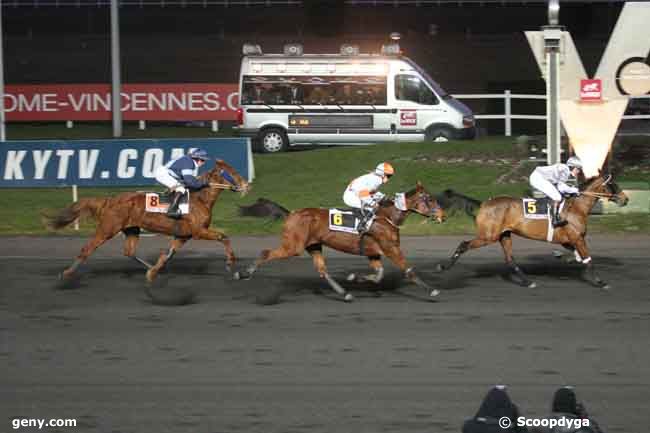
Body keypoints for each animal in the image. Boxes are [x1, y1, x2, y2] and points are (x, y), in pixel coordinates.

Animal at [40, 160, 248, 282]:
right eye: (232, 173)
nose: (246, 185)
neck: (200, 199)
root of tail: (110, 200)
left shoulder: (183, 235)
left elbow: (169, 253)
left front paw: (154, 271)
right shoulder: (198, 231)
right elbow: (224, 237)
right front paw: (231, 265)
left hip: (131, 229)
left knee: (129, 251)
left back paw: (149, 268)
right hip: (108, 228)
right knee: (87, 249)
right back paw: (66, 274)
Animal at [233, 181, 446, 300]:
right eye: (429, 199)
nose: (442, 216)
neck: (386, 217)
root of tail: (291, 214)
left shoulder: (373, 252)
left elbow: (379, 274)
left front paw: (354, 278)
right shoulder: (391, 248)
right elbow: (408, 270)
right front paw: (432, 290)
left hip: (313, 245)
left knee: (322, 271)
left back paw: (345, 293)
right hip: (293, 246)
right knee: (266, 253)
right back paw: (244, 273)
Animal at [438, 172, 624, 286]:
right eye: (613, 184)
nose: (625, 199)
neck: (576, 208)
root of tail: (484, 203)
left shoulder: (568, 240)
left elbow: (579, 257)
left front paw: (565, 259)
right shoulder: (577, 238)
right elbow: (588, 259)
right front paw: (600, 282)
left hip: (504, 235)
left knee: (510, 259)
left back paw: (527, 282)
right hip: (488, 236)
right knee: (463, 244)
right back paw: (443, 267)